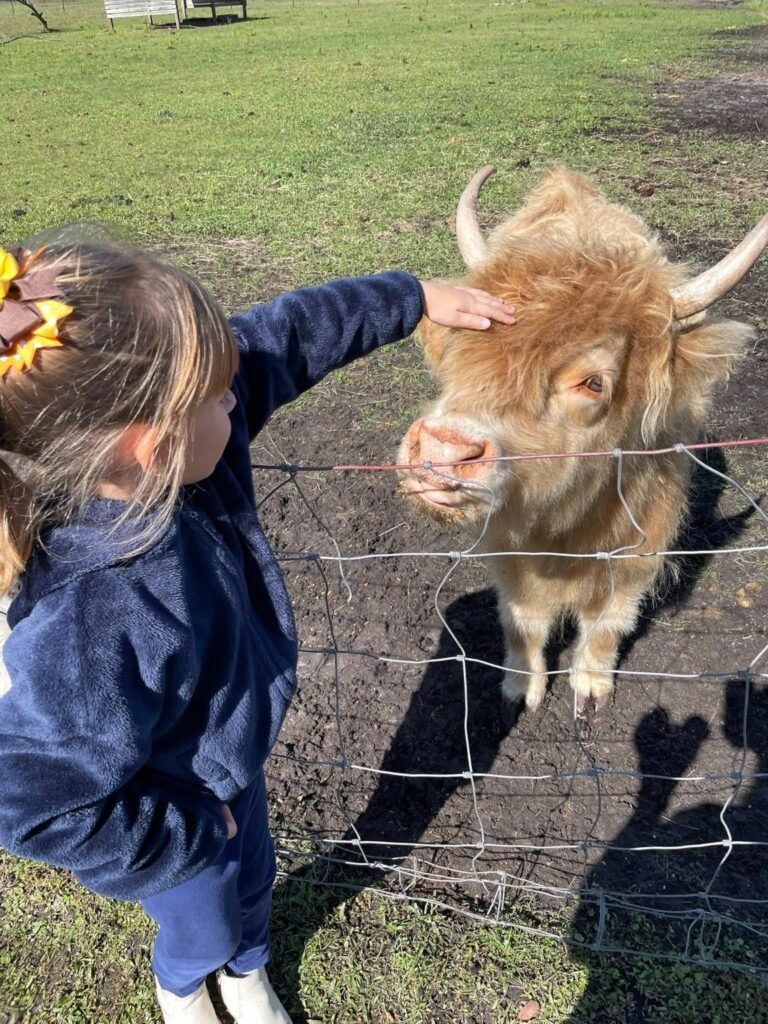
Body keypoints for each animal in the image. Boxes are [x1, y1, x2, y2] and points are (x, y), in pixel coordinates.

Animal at [398, 166, 767, 711]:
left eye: (593, 382)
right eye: (464, 345)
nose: (442, 451)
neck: (567, 533)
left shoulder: (639, 551)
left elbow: (608, 621)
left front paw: (591, 686)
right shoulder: (508, 552)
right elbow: (524, 621)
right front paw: (521, 687)